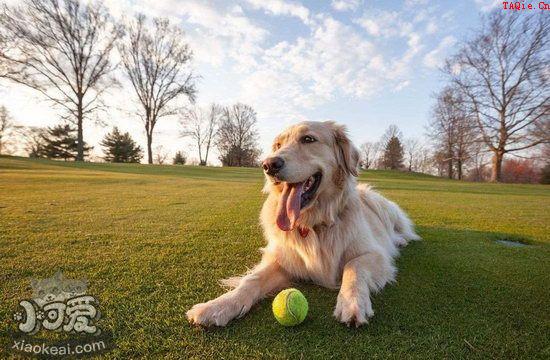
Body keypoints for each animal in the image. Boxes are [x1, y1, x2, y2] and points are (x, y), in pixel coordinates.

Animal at [188, 120, 420, 326]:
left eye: (308, 139)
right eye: (278, 145)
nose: (268, 165)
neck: (313, 224)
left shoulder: (375, 254)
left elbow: (353, 267)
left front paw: (351, 302)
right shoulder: (283, 259)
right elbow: (251, 280)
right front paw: (218, 306)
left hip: (381, 205)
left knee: (402, 231)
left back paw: (400, 240)